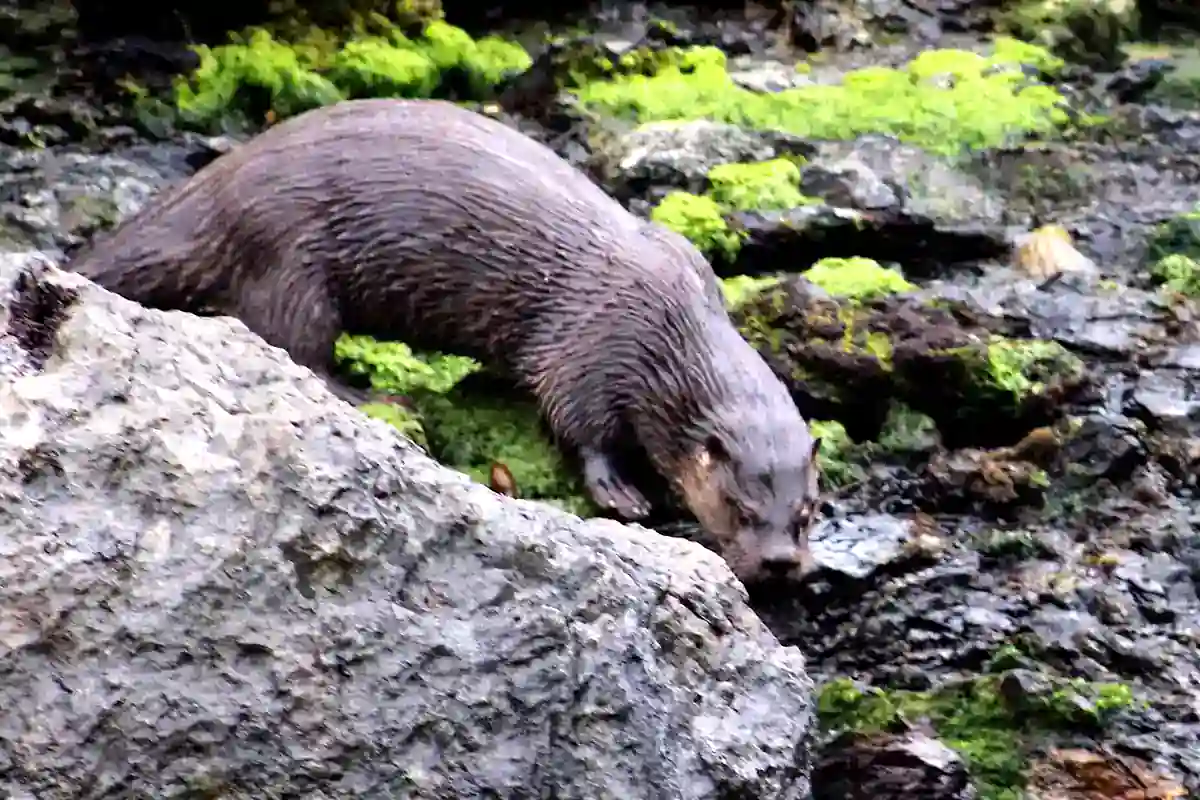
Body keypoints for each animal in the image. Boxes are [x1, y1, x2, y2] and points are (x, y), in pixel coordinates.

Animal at [69, 98, 822, 584]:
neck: (671, 325)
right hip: (290, 264)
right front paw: (622, 494)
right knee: (293, 346)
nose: (781, 564)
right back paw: (380, 398)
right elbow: (578, 423)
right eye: (739, 507)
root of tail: (213, 189)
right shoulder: (592, 346)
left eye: (807, 513)